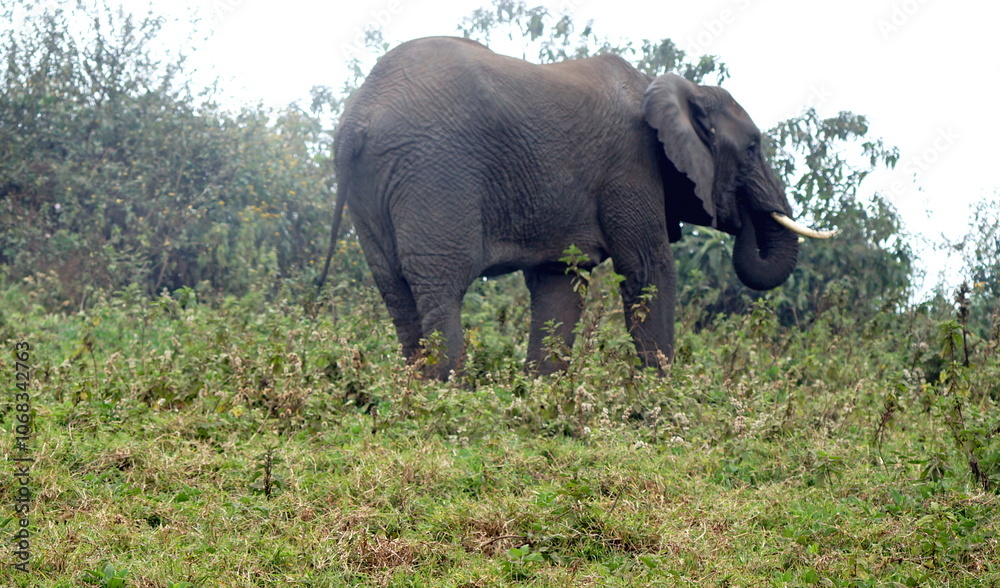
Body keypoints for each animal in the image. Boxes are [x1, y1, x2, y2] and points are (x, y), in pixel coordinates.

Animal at [317, 36, 834, 379]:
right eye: (753, 148)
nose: (744, 214)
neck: (665, 87)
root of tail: (357, 118)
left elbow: (559, 283)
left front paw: (540, 392)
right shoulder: (630, 164)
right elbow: (648, 268)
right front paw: (662, 396)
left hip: (373, 183)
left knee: (395, 289)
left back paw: (413, 392)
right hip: (434, 170)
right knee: (441, 283)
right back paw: (447, 394)